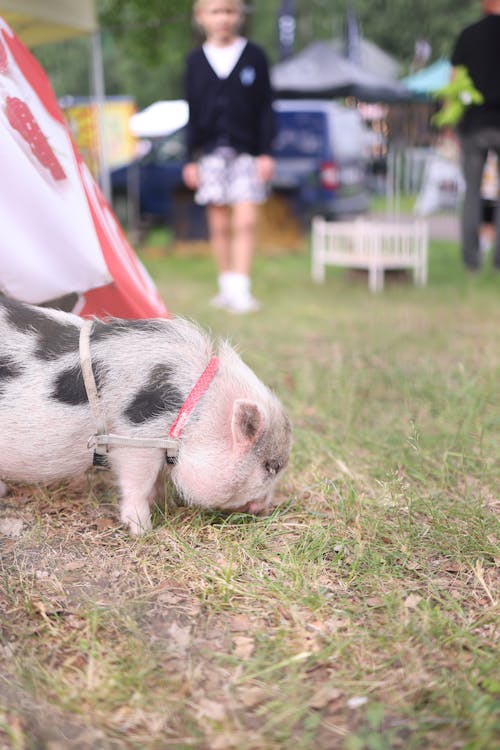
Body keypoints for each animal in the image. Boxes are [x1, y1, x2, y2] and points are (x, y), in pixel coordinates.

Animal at [0, 296, 292, 536]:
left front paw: (157, 500)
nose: (264, 508)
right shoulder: (135, 439)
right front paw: (142, 529)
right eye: (271, 467)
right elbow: (137, 483)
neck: (195, 411)